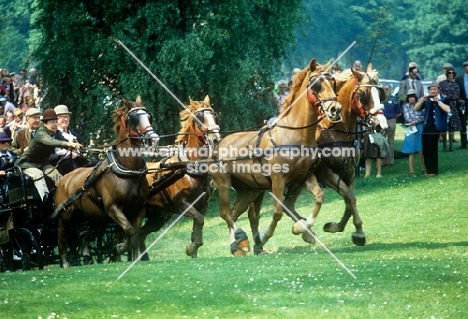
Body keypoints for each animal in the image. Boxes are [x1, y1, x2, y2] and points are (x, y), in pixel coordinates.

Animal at [53, 97, 159, 268]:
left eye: (149, 117)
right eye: (134, 118)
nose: (154, 139)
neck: (128, 169)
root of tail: (64, 178)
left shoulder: (138, 208)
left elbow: (135, 234)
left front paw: (134, 257)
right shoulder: (113, 208)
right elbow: (128, 230)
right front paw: (119, 248)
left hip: (96, 217)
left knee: (82, 234)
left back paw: (87, 256)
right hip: (65, 215)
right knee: (62, 238)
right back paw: (66, 263)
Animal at [139, 95, 221, 260]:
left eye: (215, 115)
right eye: (199, 118)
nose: (216, 139)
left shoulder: (203, 204)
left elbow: (199, 223)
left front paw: (193, 250)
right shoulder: (182, 204)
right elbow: (199, 220)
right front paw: (191, 249)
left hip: (158, 216)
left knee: (139, 234)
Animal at [208, 58, 340, 256]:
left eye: (333, 82)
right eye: (316, 85)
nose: (335, 109)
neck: (295, 134)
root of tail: (217, 144)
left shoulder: (304, 176)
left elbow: (319, 197)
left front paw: (303, 229)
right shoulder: (279, 179)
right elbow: (278, 211)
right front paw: (264, 236)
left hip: (249, 190)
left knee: (236, 212)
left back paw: (240, 245)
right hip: (223, 183)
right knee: (225, 213)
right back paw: (241, 239)